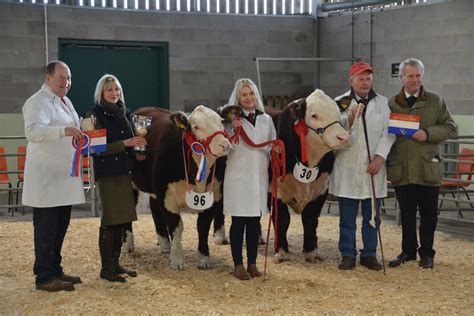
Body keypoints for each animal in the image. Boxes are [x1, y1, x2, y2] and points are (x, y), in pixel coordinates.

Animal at [131, 105, 231, 270]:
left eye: (221, 121)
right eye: (196, 127)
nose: (224, 144)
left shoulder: (215, 196)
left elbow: (203, 226)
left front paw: (203, 259)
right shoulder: (167, 197)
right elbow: (176, 227)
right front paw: (177, 260)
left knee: (154, 208)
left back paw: (165, 243)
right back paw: (127, 245)